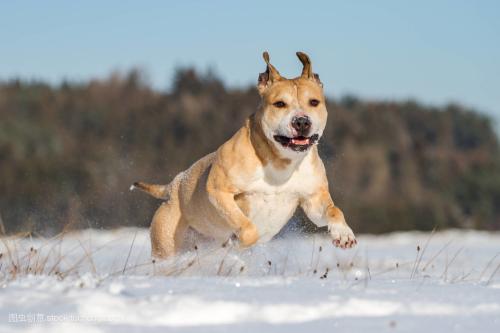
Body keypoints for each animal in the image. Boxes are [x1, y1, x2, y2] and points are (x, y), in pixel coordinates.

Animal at [133, 51, 356, 256]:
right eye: (280, 104)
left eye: (314, 102)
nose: (301, 121)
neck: (281, 160)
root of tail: (172, 187)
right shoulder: (219, 191)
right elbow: (248, 228)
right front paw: (236, 244)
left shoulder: (312, 199)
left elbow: (333, 210)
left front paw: (343, 233)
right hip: (167, 243)